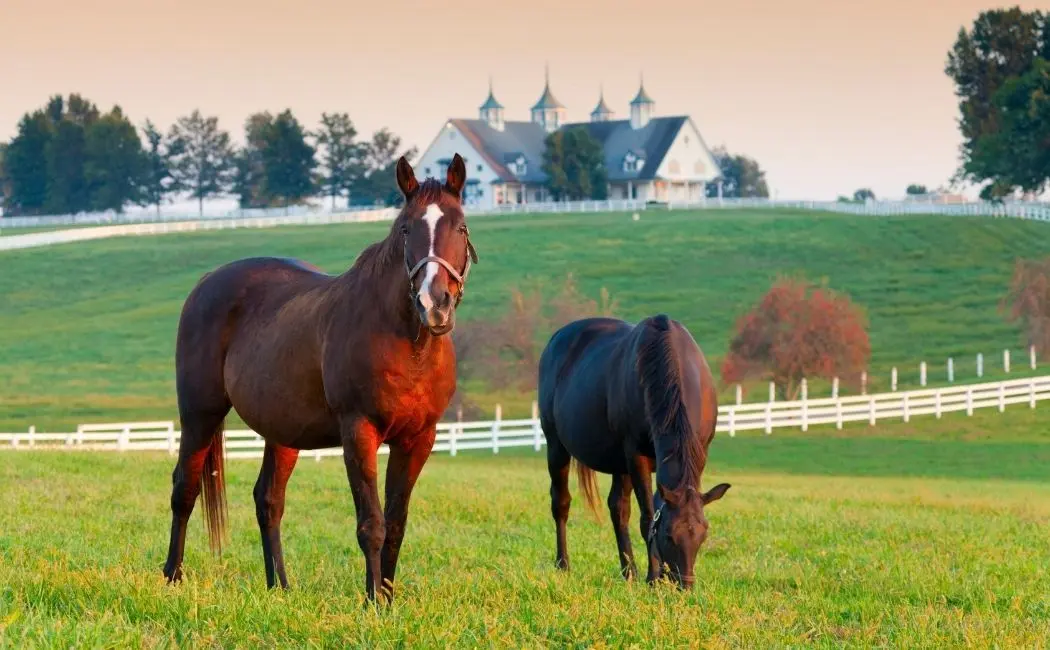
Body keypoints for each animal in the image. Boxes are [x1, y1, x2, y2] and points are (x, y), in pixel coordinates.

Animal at [163, 155, 480, 600]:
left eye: (461, 227)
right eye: (405, 228)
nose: (434, 304)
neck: (407, 344)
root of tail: (207, 282)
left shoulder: (418, 439)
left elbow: (396, 525)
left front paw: (387, 597)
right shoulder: (359, 432)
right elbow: (372, 524)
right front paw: (372, 602)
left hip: (282, 431)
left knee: (268, 500)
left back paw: (279, 586)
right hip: (199, 415)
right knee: (185, 489)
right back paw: (172, 576)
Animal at [541, 315, 730, 588]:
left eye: (703, 534)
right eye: (669, 536)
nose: (684, 585)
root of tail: (556, 338)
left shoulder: (698, 454)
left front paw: (656, 575)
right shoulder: (636, 457)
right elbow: (648, 517)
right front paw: (653, 578)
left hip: (619, 464)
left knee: (618, 508)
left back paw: (628, 571)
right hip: (556, 446)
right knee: (561, 502)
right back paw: (563, 564)